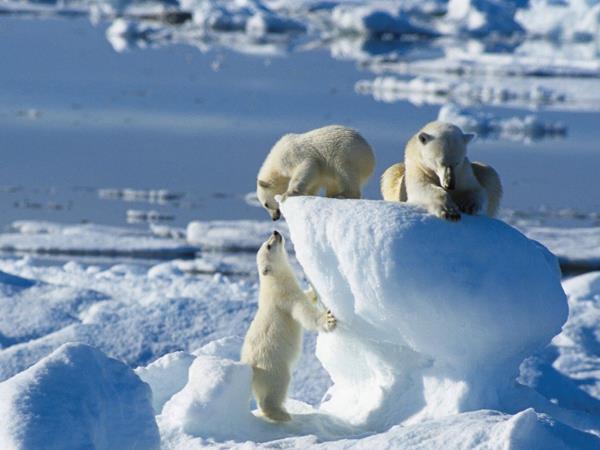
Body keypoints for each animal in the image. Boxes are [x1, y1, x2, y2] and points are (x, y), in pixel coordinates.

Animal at [243, 232, 338, 422]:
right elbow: (304, 314)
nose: (275, 232)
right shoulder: (285, 299)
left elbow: (307, 297)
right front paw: (328, 319)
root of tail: (250, 369)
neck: (273, 283)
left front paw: (312, 290)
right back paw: (282, 414)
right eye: (268, 246)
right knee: (276, 388)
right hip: (272, 367)